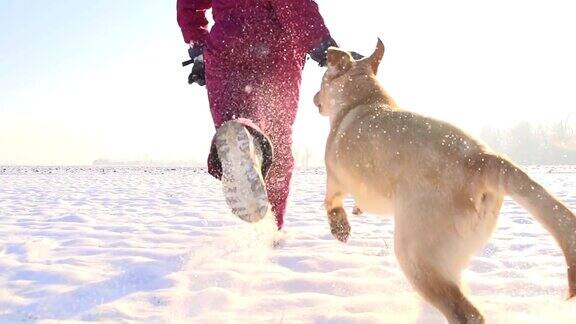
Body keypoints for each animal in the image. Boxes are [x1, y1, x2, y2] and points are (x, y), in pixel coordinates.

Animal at [316, 39, 576, 322]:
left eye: (321, 81)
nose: (314, 98)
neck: (363, 100)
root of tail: (483, 159)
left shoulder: (334, 176)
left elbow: (330, 202)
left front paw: (340, 227)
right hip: (447, 259)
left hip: (414, 254)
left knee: (466, 312)